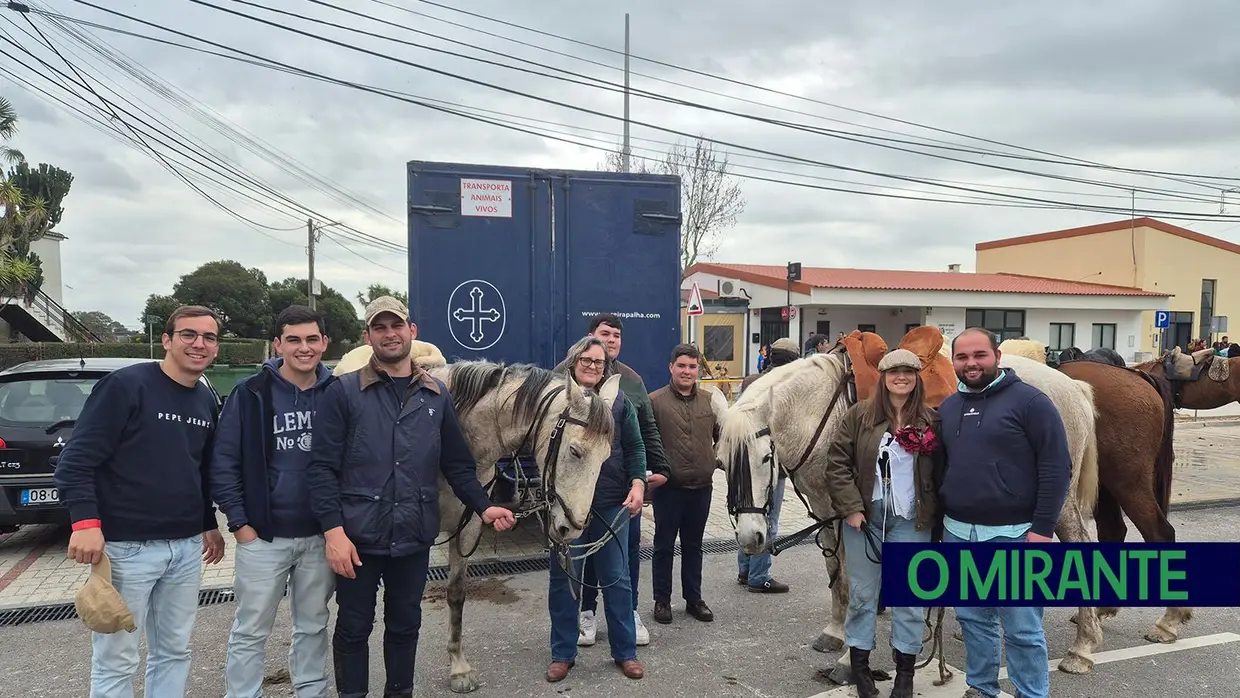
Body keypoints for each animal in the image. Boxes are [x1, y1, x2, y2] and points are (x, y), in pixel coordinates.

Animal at [719, 347, 1106, 679]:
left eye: (765, 458)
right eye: (722, 462)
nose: (750, 538)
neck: (822, 415)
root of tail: (1071, 385)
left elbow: (855, 581)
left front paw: (848, 659)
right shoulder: (826, 508)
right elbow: (836, 574)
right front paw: (835, 632)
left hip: (1058, 502)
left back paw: (1083, 647)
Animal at [1051, 359, 1195, 649]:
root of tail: (1137, 375)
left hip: (1128, 482)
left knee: (1159, 533)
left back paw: (1167, 623)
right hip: (1105, 484)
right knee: (1113, 531)